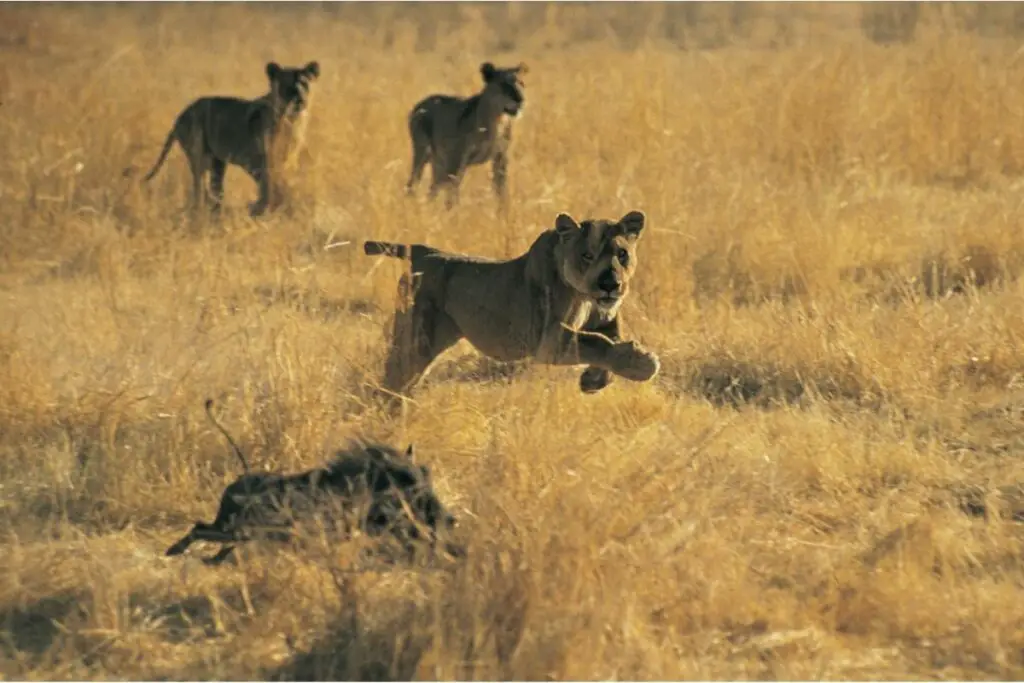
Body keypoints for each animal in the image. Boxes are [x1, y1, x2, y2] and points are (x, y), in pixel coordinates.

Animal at [141, 60, 320, 217]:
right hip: (199, 157)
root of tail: (180, 115)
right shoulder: (257, 161)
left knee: (215, 190)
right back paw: (200, 212)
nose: (300, 100)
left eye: (305, 84)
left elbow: (279, 183)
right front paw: (265, 209)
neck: (292, 121)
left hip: (218, 162)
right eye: (288, 87)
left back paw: (216, 213)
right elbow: (268, 186)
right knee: (200, 189)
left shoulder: (286, 160)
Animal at [363, 210, 660, 400]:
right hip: (418, 341)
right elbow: (598, 342)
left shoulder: (604, 319)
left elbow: (609, 340)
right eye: (587, 255)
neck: (585, 296)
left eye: (622, 254)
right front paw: (644, 364)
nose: (610, 284)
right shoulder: (549, 340)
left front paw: (593, 381)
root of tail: (425, 251)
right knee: (394, 379)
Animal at [405, 62, 526, 210]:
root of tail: (419, 105)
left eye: (521, 83)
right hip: (423, 153)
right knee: (413, 184)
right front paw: (453, 213)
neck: (497, 119)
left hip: (439, 160)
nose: (520, 100)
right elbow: (452, 193)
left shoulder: (500, 157)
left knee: (433, 188)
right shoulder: (457, 158)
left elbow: (501, 191)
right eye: (504, 84)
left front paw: (504, 212)